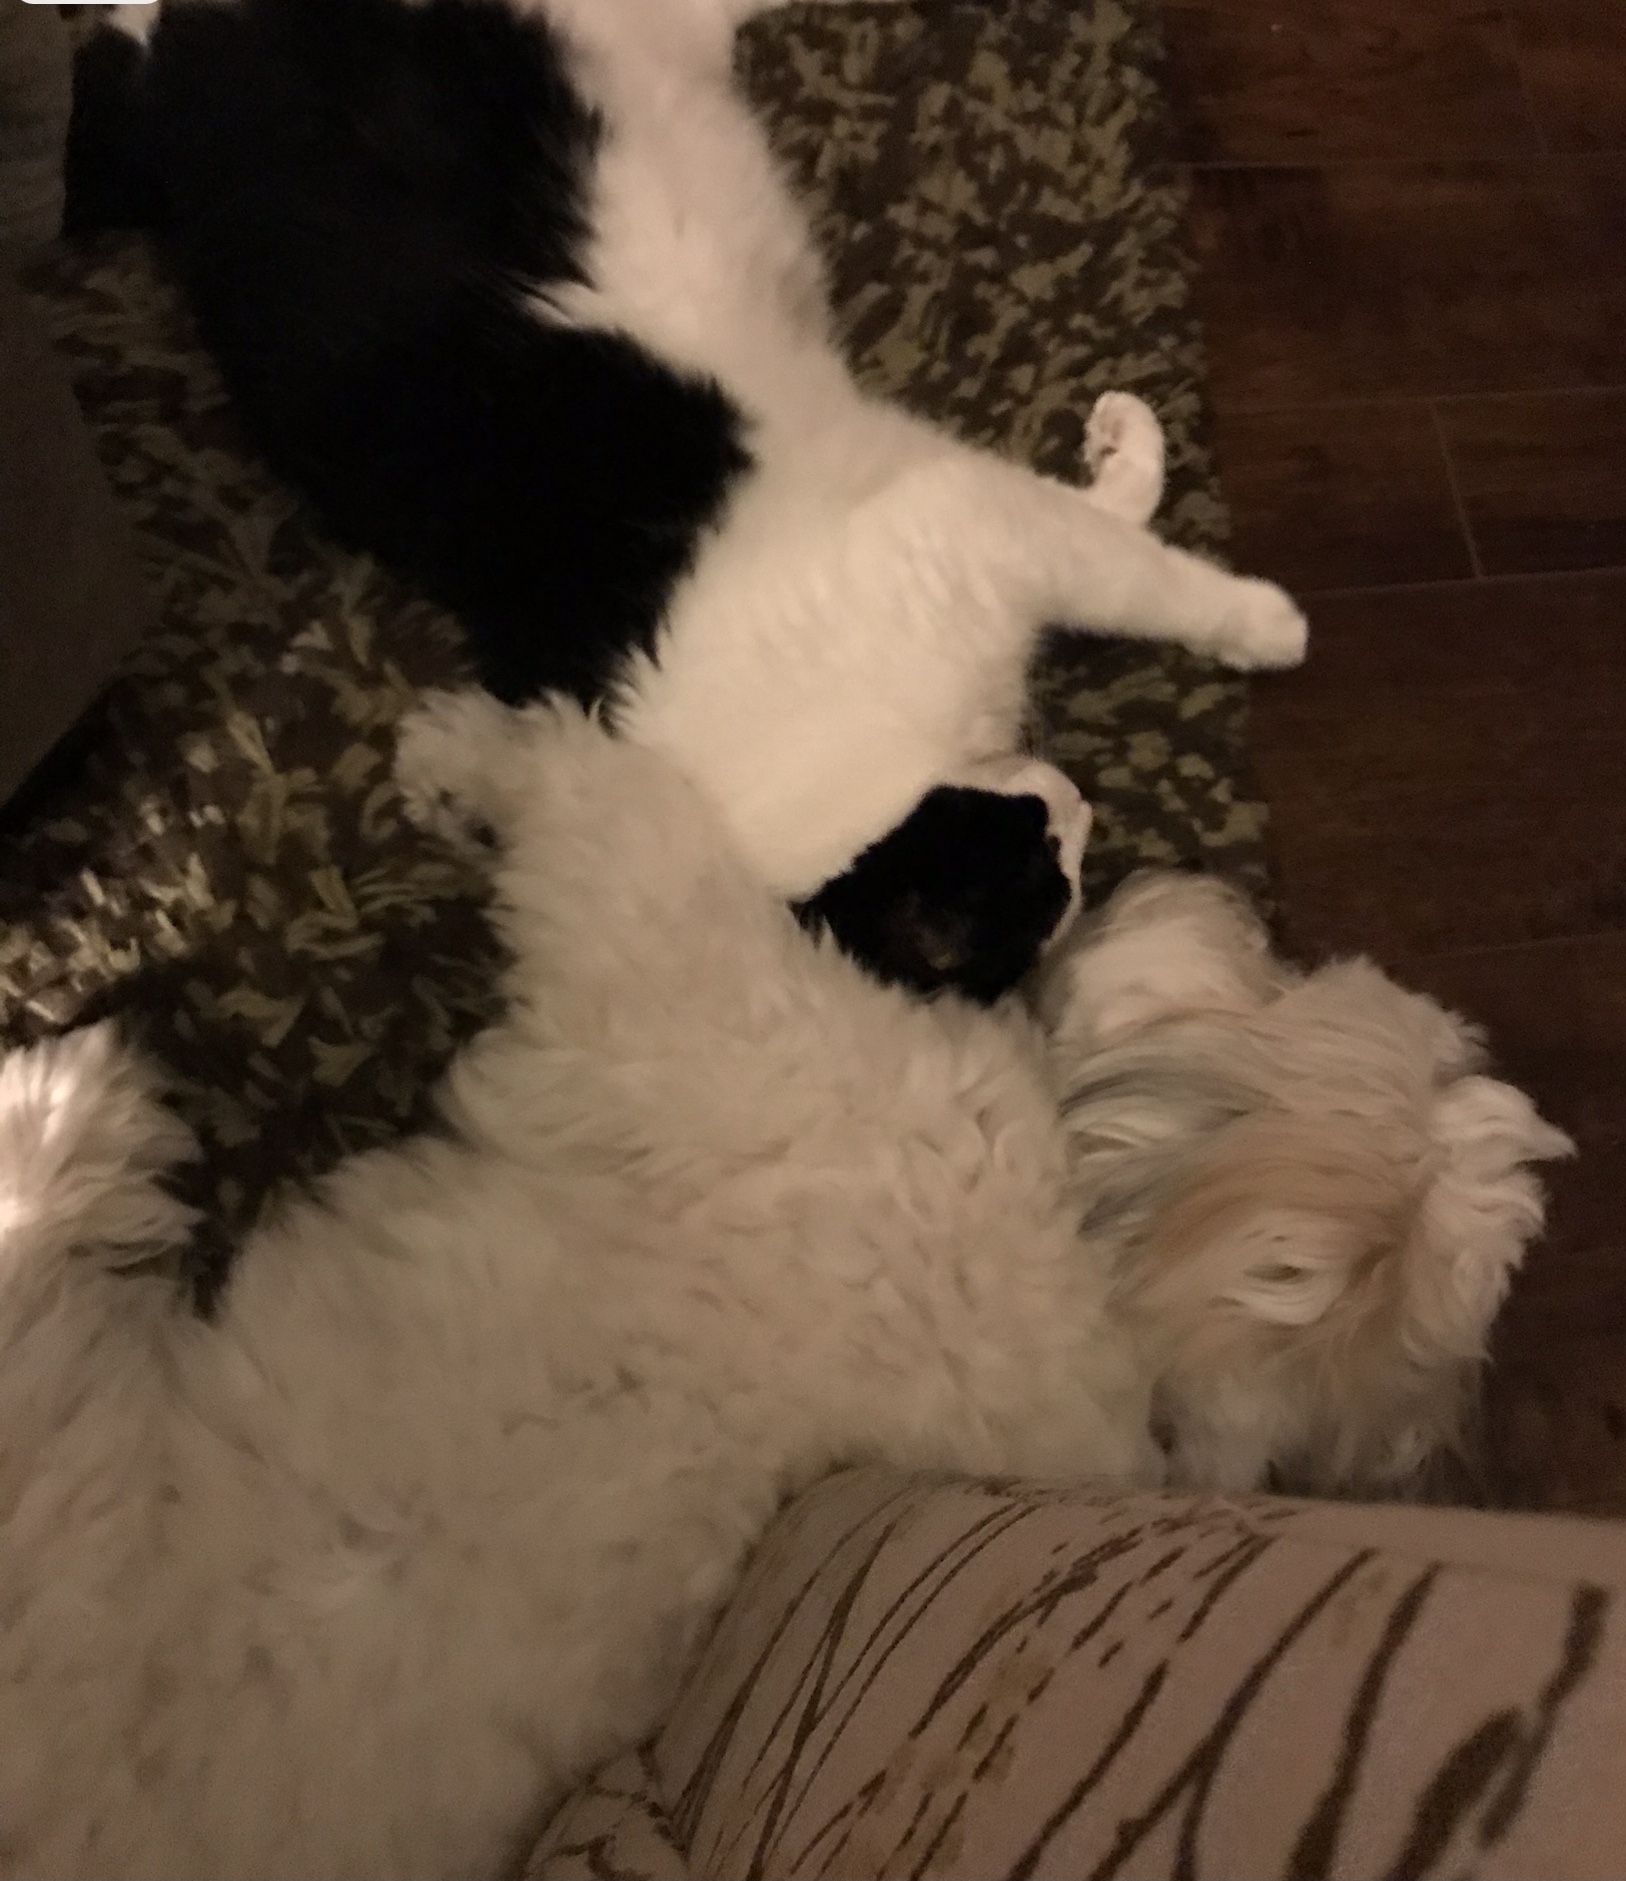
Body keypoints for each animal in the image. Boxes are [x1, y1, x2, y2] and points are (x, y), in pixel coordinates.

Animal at [0, 703, 1565, 1881]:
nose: (1215, 889)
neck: (1115, 1292)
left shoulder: (698, 988)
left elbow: (611, 804)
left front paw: (465, 749)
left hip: (47, 1428)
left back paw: (90, 1099)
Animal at [66, 0, 1309, 1000]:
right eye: (1049, 878)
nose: (1079, 811)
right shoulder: (964, 522)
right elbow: (1114, 554)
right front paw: (1240, 592)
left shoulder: (962, 521)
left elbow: (1135, 567)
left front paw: (1256, 610)